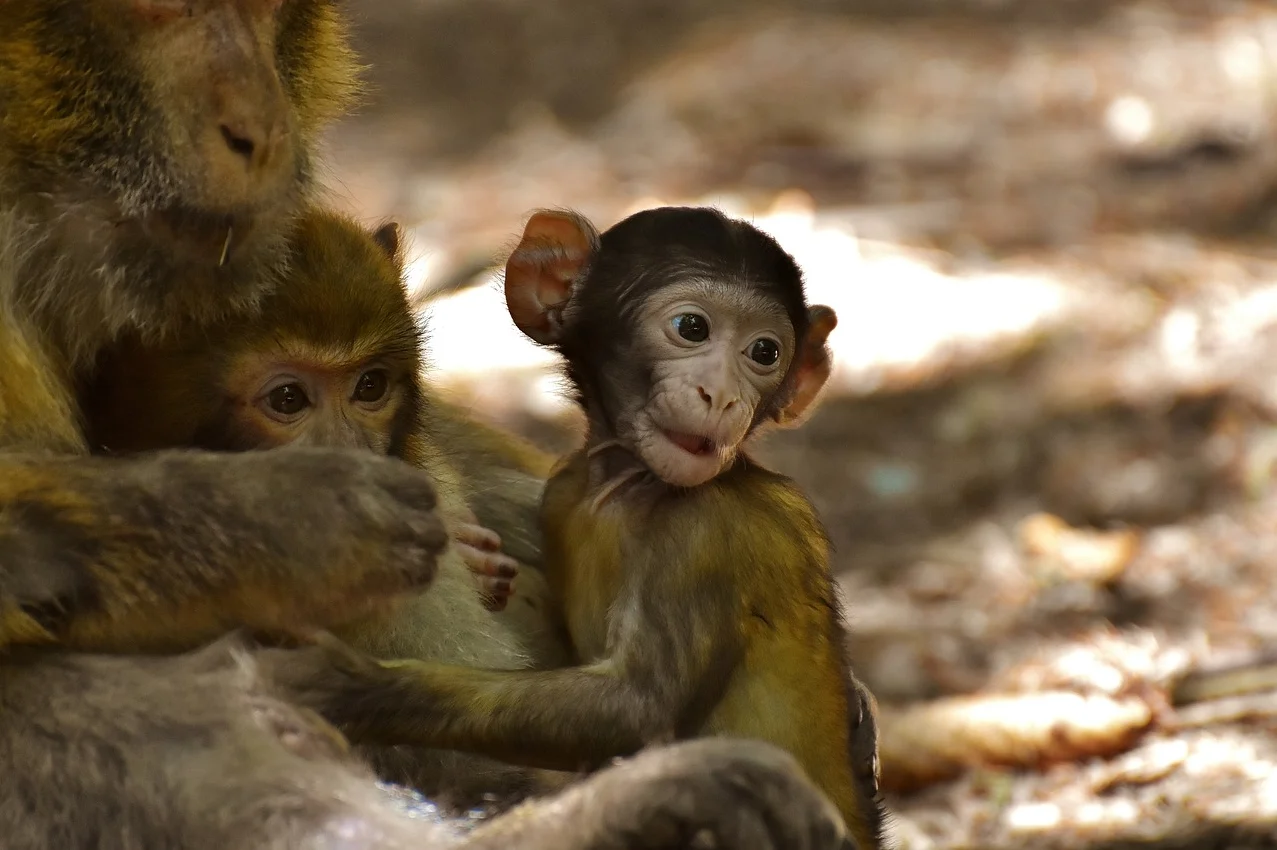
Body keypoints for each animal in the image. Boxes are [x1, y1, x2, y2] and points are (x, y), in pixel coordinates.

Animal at [278, 206, 883, 847]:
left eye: (764, 352)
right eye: (692, 327)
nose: (720, 397)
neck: (629, 488)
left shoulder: (710, 532)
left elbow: (635, 707)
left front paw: (353, 686)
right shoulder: (564, 492)